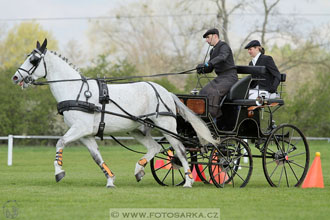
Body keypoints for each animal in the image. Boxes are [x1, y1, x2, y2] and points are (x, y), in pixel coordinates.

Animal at [11, 39, 218, 187]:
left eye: (33, 59)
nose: (15, 77)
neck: (75, 90)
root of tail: (166, 92)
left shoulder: (80, 128)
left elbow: (60, 142)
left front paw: (59, 172)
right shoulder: (85, 134)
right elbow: (96, 157)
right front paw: (110, 179)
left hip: (166, 127)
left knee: (180, 150)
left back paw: (189, 181)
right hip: (137, 129)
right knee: (154, 147)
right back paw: (139, 170)